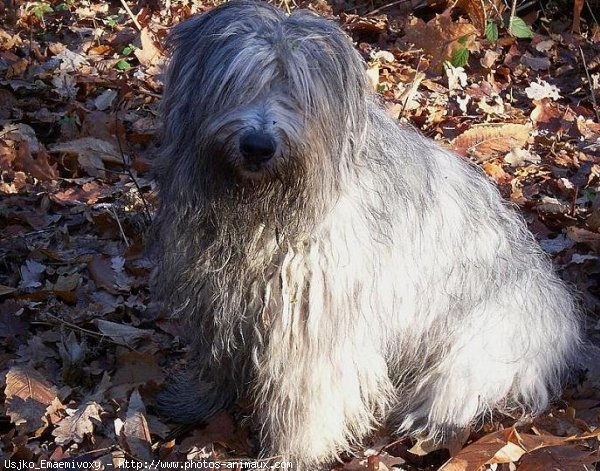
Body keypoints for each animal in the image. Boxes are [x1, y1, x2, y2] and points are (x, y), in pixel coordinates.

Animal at [152, 1, 584, 468]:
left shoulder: (314, 322)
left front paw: (292, 454)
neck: (263, 210)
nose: (257, 145)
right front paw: (195, 401)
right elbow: (216, 361)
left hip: (482, 349)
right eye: (235, 82)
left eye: (299, 93)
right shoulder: (218, 299)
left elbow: (305, 396)